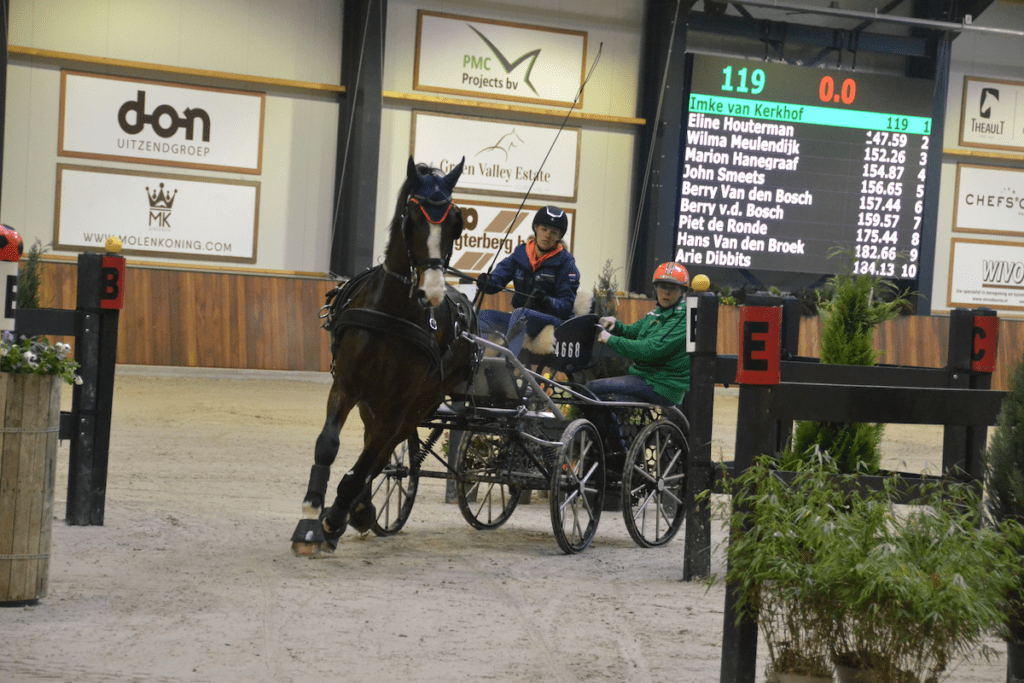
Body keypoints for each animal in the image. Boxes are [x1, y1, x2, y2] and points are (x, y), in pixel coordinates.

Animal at [290, 156, 477, 557]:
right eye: (412, 218)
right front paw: (310, 519)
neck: (393, 314)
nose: (431, 292)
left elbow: (367, 462)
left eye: (455, 223)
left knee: (381, 452)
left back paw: (354, 510)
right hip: (372, 402)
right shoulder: (347, 386)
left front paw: (332, 520)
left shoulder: (400, 404)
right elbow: (328, 446)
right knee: (374, 446)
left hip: (419, 405)